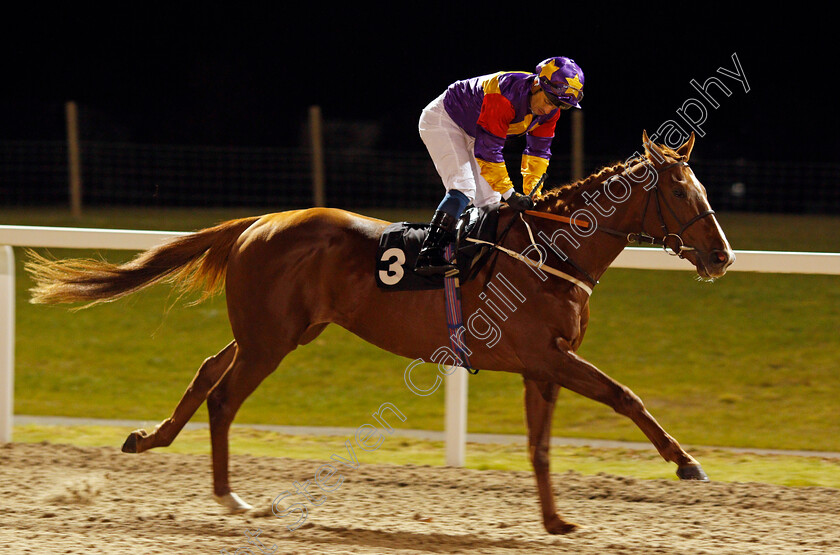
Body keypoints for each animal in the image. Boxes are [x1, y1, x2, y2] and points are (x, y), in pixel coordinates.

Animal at [26, 131, 732, 536]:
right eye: (681, 192)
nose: (721, 255)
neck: (550, 251)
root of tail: (257, 223)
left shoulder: (542, 366)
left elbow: (540, 445)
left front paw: (557, 520)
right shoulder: (545, 355)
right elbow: (624, 396)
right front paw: (687, 462)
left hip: (278, 332)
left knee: (206, 371)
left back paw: (149, 439)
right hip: (270, 341)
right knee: (224, 398)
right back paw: (233, 502)